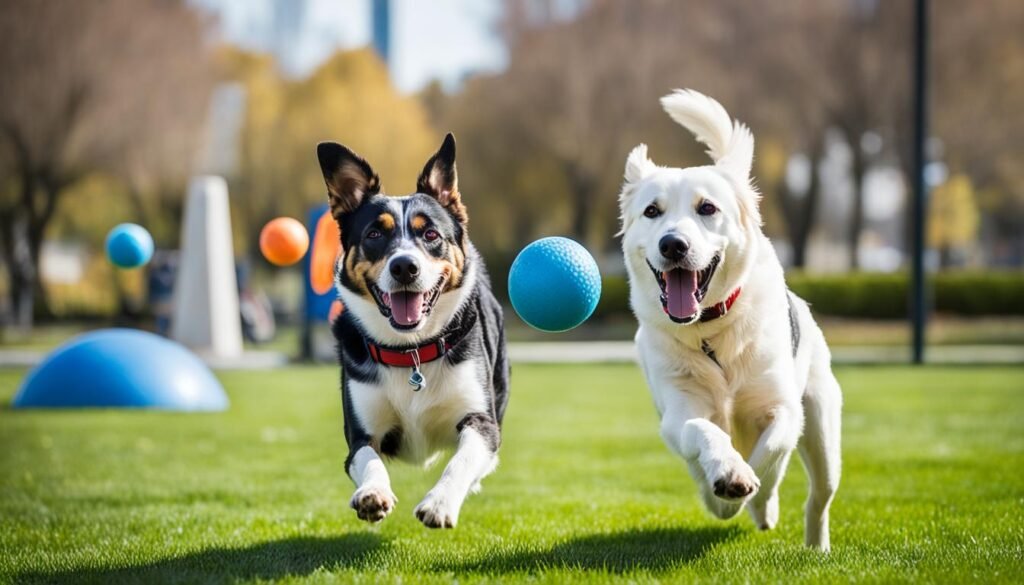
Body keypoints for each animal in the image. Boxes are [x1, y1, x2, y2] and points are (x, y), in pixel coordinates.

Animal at [315, 135, 507, 528]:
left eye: (430, 234)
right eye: (374, 233)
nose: (404, 266)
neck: (411, 351)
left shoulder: (480, 418)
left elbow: (464, 457)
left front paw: (440, 502)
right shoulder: (359, 434)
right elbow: (368, 459)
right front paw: (373, 494)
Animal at [618, 89, 843, 553]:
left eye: (707, 208)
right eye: (652, 211)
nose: (673, 244)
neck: (710, 332)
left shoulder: (783, 409)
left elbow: (771, 455)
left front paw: (751, 490)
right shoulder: (678, 412)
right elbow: (704, 433)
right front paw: (728, 476)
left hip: (823, 428)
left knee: (819, 497)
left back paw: (814, 543)